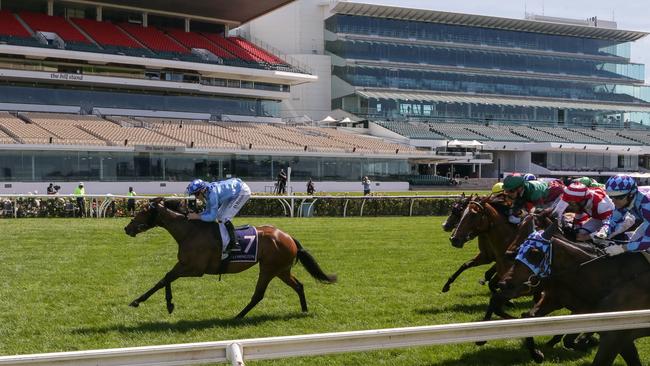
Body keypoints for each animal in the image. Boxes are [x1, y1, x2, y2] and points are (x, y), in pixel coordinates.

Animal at [122, 197, 336, 318]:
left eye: (142, 211)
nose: (127, 228)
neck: (190, 231)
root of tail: (288, 236)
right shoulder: (183, 264)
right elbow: (163, 279)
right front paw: (143, 301)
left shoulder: (195, 269)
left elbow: (166, 278)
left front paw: (165, 304)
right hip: (281, 270)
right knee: (299, 285)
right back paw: (304, 310)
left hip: (269, 268)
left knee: (259, 294)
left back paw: (238, 316)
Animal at [496, 229, 648, 366]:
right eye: (520, 249)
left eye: (534, 253)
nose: (504, 284)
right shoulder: (557, 300)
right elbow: (530, 317)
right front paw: (538, 354)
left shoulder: (612, 334)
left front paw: (586, 342)